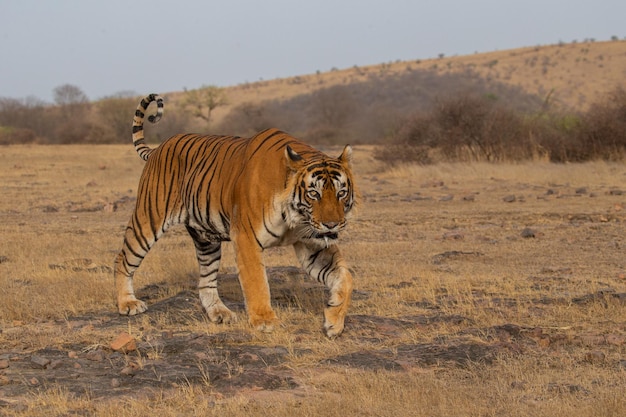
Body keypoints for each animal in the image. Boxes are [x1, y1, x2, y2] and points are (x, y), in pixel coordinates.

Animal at [112, 92, 356, 336]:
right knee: (123, 258)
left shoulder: (312, 244)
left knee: (206, 281)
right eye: (314, 194)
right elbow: (257, 281)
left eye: (341, 193)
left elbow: (345, 276)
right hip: (148, 219)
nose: (332, 225)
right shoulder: (246, 237)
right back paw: (128, 304)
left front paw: (334, 319)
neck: (295, 219)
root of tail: (158, 148)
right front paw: (265, 321)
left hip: (206, 240)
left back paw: (220, 313)